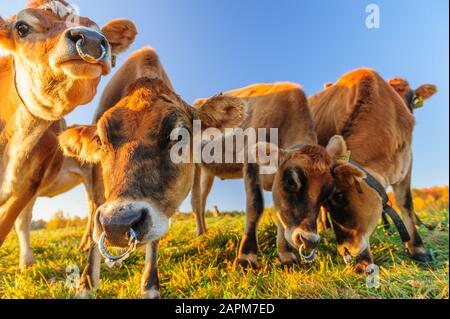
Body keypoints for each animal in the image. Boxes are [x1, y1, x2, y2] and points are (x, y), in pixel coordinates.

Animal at [59, 47, 246, 300]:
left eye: (180, 136)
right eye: (100, 140)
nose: (118, 224)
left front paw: (150, 286)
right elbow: (97, 210)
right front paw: (86, 283)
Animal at [190, 84, 348, 268]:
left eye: (327, 194)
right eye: (291, 182)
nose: (309, 241)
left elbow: (280, 213)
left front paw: (286, 255)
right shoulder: (250, 159)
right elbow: (255, 204)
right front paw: (247, 255)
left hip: (208, 171)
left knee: (202, 200)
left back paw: (205, 232)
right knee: (196, 201)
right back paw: (200, 235)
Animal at [310, 68, 436, 272]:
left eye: (339, 196)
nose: (345, 251)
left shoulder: (407, 160)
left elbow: (405, 202)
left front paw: (418, 249)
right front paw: (363, 261)